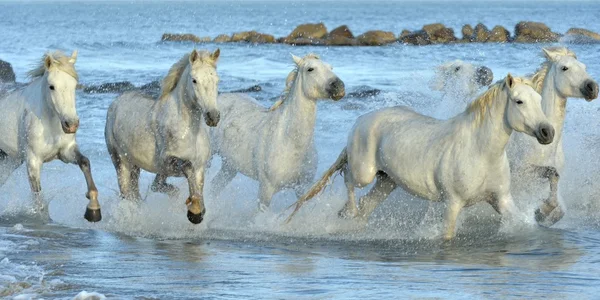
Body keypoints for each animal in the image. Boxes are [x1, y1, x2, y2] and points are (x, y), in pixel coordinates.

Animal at [0, 50, 101, 221]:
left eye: (74, 86)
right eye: (52, 86)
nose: (71, 124)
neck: (50, 123)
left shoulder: (66, 152)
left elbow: (84, 162)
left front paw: (93, 209)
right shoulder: (33, 161)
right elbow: (39, 200)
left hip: (9, 160)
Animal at [105, 48, 220, 223]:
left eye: (217, 80)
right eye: (194, 80)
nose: (213, 117)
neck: (189, 130)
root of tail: (115, 103)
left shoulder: (200, 167)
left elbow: (196, 185)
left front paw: (198, 210)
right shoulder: (169, 161)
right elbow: (187, 167)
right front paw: (194, 212)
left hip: (136, 166)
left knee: (143, 190)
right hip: (121, 162)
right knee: (128, 195)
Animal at [207, 53, 344, 211]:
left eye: (331, 67)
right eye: (310, 69)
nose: (339, 87)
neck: (291, 142)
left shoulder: (302, 188)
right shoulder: (266, 190)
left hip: (230, 166)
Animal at [288, 75, 556, 241]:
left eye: (539, 100)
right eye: (519, 101)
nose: (547, 132)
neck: (480, 151)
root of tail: (362, 119)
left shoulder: (502, 199)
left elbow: (521, 222)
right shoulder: (452, 203)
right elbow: (447, 235)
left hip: (387, 181)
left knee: (366, 204)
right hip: (365, 172)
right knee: (349, 180)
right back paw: (347, 212)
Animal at [508, 47, 596, 225]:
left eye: (584, 67)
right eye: (564, 68)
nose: (593, 88)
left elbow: (559, 207)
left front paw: (541, 212)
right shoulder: (522, 171)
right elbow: (551, 173)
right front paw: (542, 210)